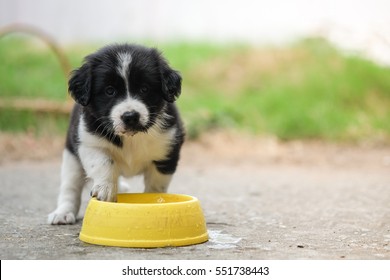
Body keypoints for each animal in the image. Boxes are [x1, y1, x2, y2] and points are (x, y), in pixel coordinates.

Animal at [48, 43, 184, 224]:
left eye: (144, 89)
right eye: (109, 91)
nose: (130, 116)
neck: (131, 138)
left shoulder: (167, 150)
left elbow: (156, 185)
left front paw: (154, 202)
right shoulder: (89, 142)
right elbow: (104, 163)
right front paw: (105, 189)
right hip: (71, 157)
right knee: (70, 187)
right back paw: (63, 212)